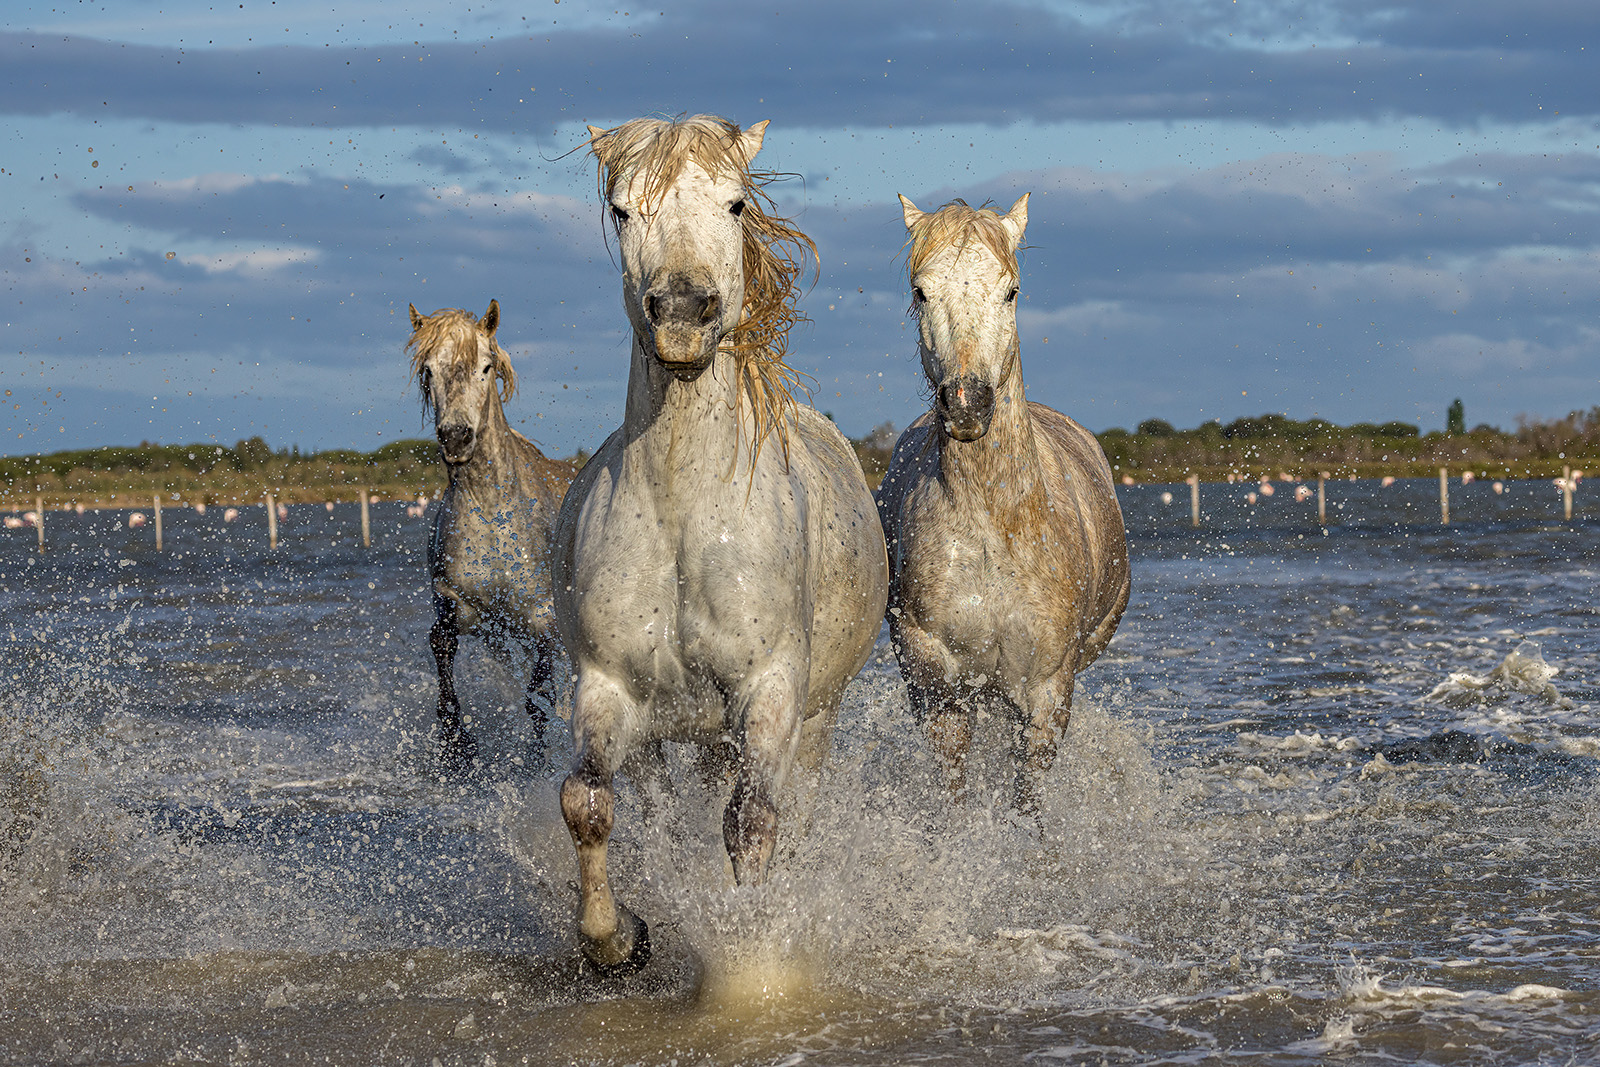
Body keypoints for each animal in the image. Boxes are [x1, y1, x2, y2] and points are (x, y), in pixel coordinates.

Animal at [406, 300, 578, 773]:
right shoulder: (456, 606)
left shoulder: (543, 619)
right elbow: (442, 655)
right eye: (428, 369)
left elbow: (539, 699)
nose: (456, 437)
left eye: (485, 366)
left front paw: (537, 764)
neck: (492, 516)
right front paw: (457, 746)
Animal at [552, 115, 889, 973]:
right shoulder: (606, 686)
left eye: (735, 203)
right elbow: (587, 803)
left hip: (813, 718)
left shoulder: (770, 691)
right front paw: (618, 939)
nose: (680, 312)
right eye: (621, 211)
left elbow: (753, 821)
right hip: (668, 734)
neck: (683, 513)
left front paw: (751, 953)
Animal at [874, 196, 1130, 814]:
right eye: (921, 291)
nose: (967, 403)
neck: (995, 531)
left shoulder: (1046, 697)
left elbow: (1027, 801)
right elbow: (952, 788)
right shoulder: (938, 686)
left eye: (1011, 291)